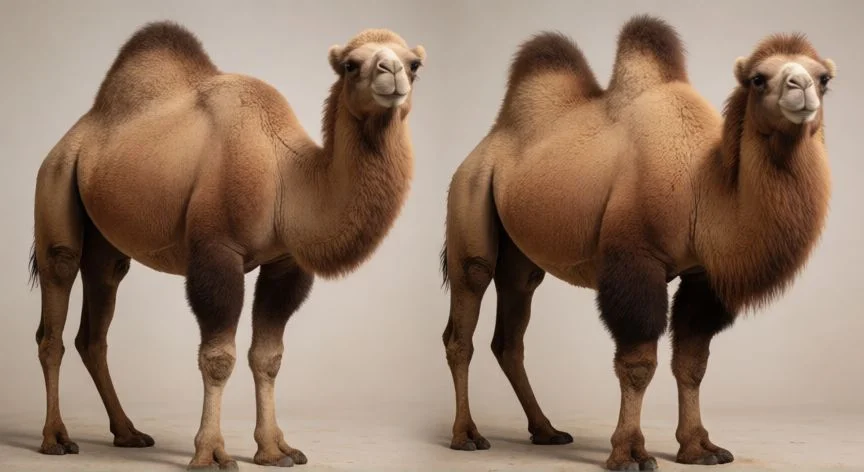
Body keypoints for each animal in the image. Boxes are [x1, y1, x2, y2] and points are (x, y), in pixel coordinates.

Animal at [28, 21, 425, 469]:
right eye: (351, 65)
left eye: (415, 64)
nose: (392, 72)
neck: (285, 177)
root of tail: (74, 136)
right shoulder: (217, 252)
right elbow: (218, 358)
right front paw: (210, 452)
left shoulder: (285, 262)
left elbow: (267, 357)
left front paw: (274, 449)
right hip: (56, 182)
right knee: (55, 309)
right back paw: (55, 437)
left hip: (106, 236)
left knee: (95, 322)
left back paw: (128, 432)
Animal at [440, 15, 835, 470]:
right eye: (758, 78)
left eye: (824, 78)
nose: (800, 87)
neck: (702, 187)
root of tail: (483, 147)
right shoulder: (635, 260)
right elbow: (638, 363)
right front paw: (629, 451)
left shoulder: (702, 275)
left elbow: (692, 362)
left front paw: (699, 447)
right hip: (470, 198)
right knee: (464, 318)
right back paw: (466, 435)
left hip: (519, 255)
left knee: (510, 333)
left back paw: (547, 430)